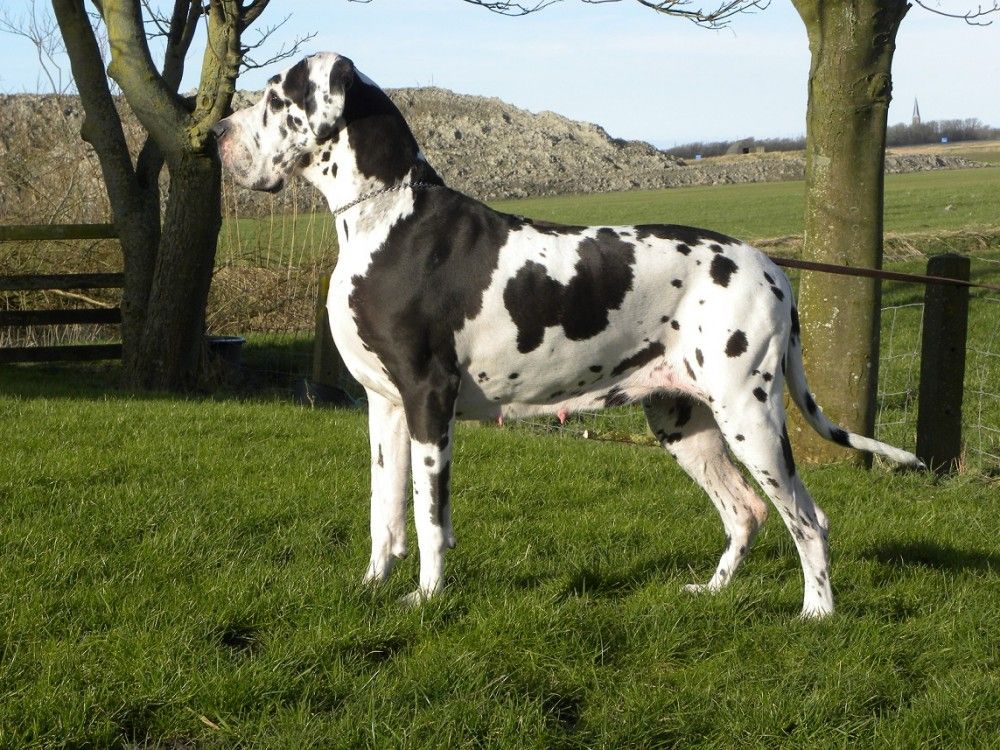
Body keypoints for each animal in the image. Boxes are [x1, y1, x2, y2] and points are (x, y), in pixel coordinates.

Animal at [213, 52, 924, 618]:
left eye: (274, 97)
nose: (217, 130)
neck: (386, 218)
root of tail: (773, 268)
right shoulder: (384, 407)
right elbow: (383, 514)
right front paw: (372, 588)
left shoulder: (427, 400)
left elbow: (428, 516)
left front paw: (427, 599)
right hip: (682, 421)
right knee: (743, 510)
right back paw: (713, 591)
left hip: (750, 416)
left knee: (807, 518)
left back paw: (817, 613)